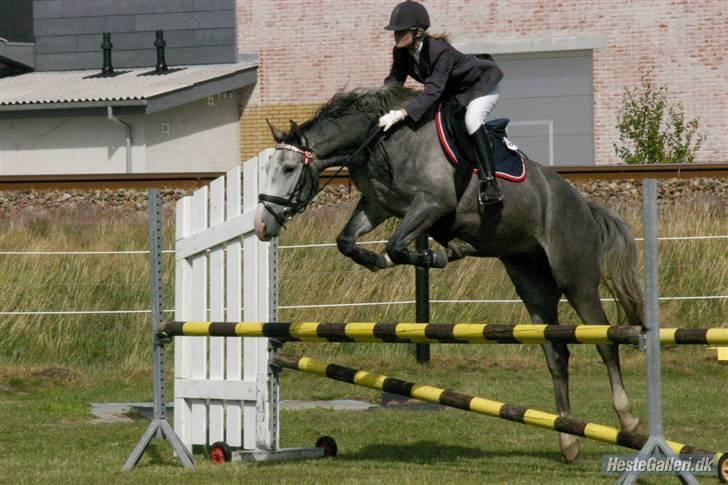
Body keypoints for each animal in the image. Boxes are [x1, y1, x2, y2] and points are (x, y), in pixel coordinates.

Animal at [255, 86, 644, 462]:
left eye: (288, 169)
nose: (262, 225)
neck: (384, 142)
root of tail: (583, 204)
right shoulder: (378, 206)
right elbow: (347, 241)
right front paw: (382, 259)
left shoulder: (431, 204)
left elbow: (397, 244)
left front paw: (434, 254)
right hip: (532, 284)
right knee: (557, 355)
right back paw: (568, 440)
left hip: (576, 281)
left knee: (605, 342)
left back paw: (629, 422)